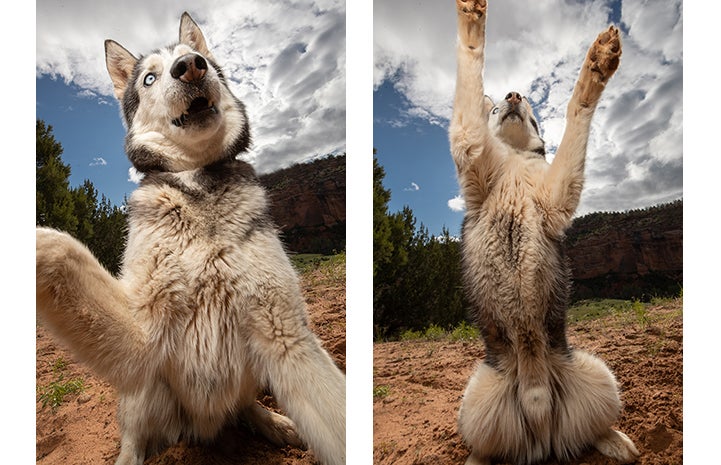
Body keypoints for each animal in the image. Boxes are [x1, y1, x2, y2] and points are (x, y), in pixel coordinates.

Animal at [35, 10, 344, 464]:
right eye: (149, 77)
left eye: (194, 57)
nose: (191, 67)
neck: (197, 184)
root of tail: (204, 425)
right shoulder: (143, 333)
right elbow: (59, 246)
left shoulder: (287, 335)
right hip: (147, 393)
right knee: (134, 435)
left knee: (243, 404)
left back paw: (272, 421)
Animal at [450, 0, 640, 464]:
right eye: (497, 107)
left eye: (531, 109)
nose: (515, 95)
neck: (515, 160)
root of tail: (539, 418)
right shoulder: (469, 144)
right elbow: (470, 65)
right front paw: (472, 19)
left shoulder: (555, 200)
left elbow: (577, 112)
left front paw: (598, 63)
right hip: (471, 402)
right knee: (488, 448)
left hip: (599, 372)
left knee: (590, 431)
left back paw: (617, 441)